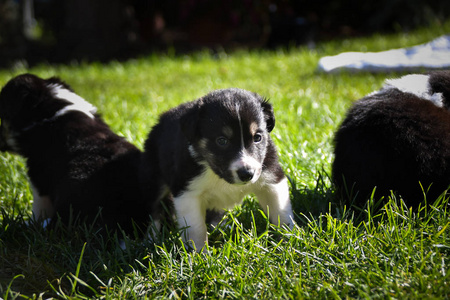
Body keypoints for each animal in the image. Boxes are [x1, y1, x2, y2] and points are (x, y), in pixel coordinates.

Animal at [142, 88, 294, 251]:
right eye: (222, 141)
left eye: (257, 137)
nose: (247, 174)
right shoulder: (187, 192)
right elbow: (196, 229)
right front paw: (199, 254)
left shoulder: (271, 179)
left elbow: (281, 213)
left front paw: (288, 241)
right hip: (154, 178)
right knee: (155, 211)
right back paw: (150, 241)